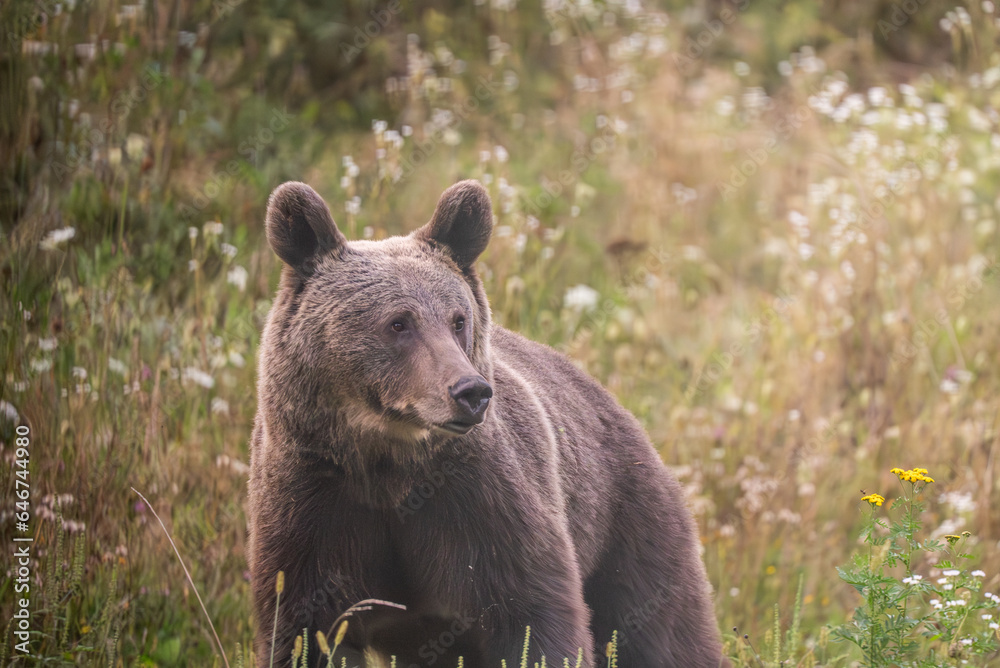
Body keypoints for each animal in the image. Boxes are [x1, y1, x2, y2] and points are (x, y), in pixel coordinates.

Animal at [247, 179, 726, 668]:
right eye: (398, 322)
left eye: (458, 319)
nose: (470, 391)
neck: (388, 462)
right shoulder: (313, 509)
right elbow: (305, 630)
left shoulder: (481, 507)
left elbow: (535, 618)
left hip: (627, 522)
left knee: (663, 631)